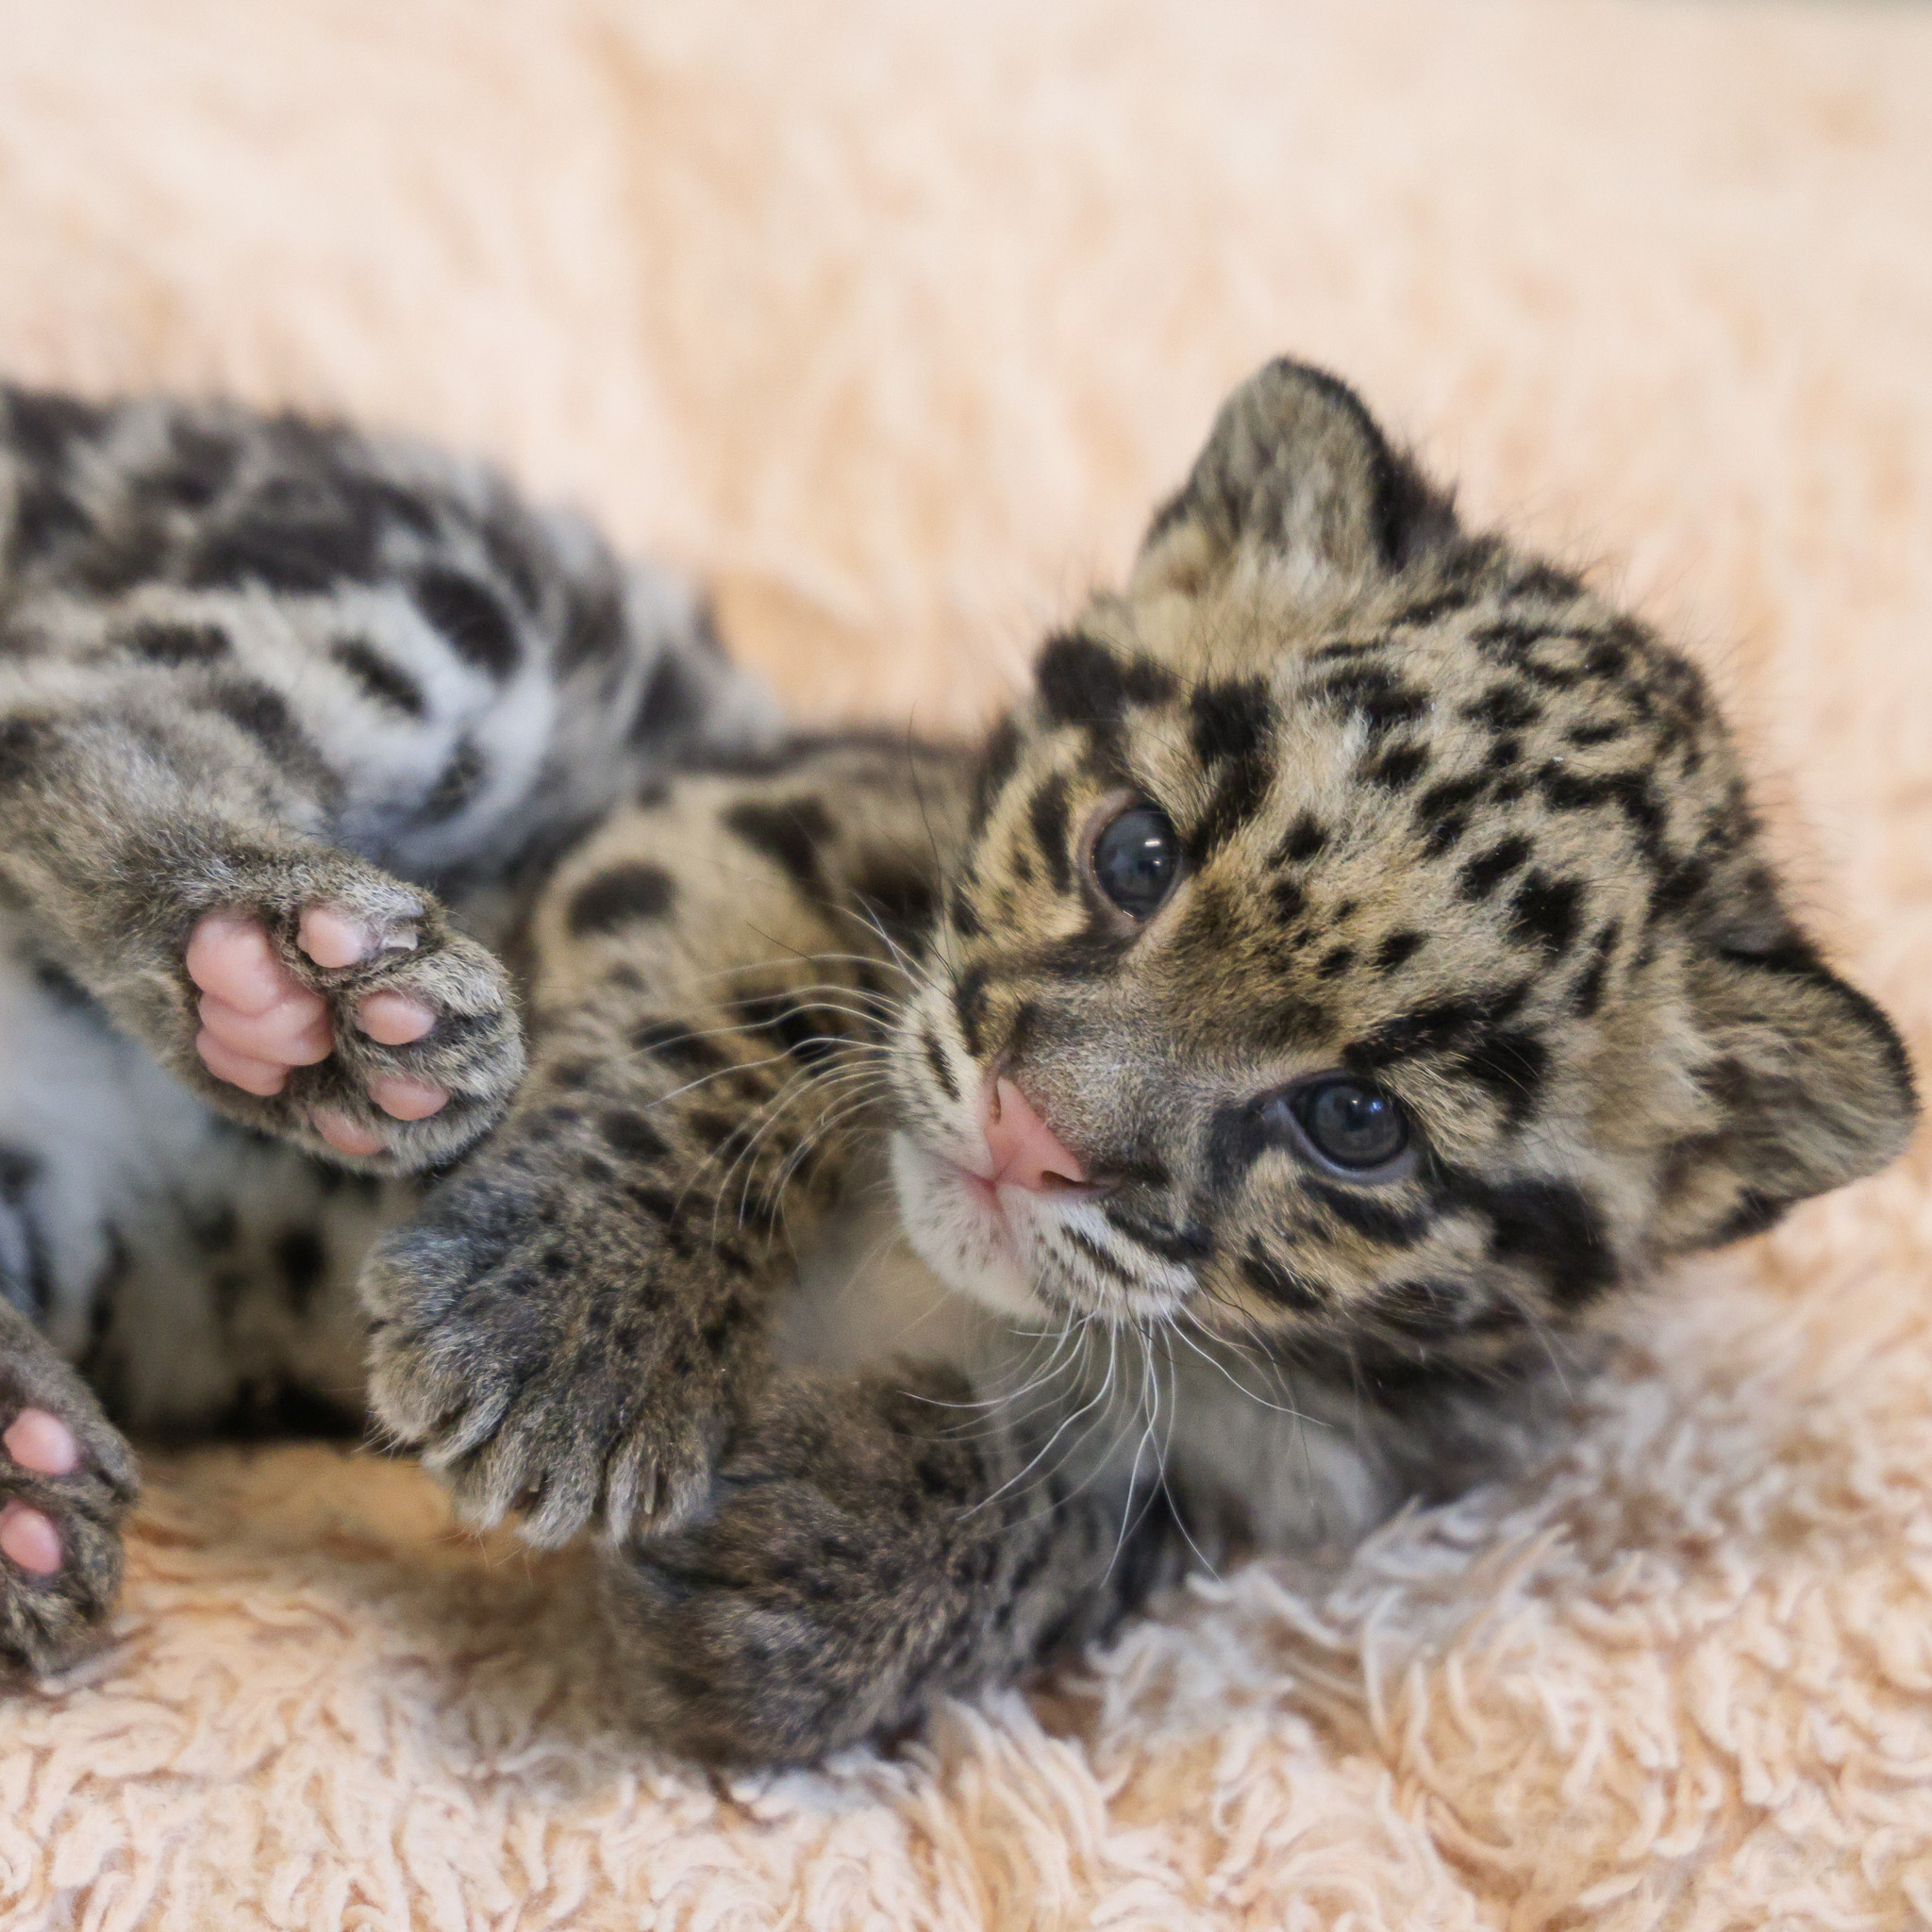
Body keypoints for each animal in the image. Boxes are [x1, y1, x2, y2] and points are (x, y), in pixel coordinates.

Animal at [0, 361, 1914, 1770]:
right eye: (1133, 854)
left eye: (1356, 1123)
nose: (1028, 1132)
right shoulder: (759, 806)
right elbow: (731, 1030)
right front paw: (573, 1333)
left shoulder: (1308, 1480)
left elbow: (1086, 1526)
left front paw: (820, 1581)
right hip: (450, 583)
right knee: (75, 721)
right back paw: (287, 981)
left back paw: (20, 1477)